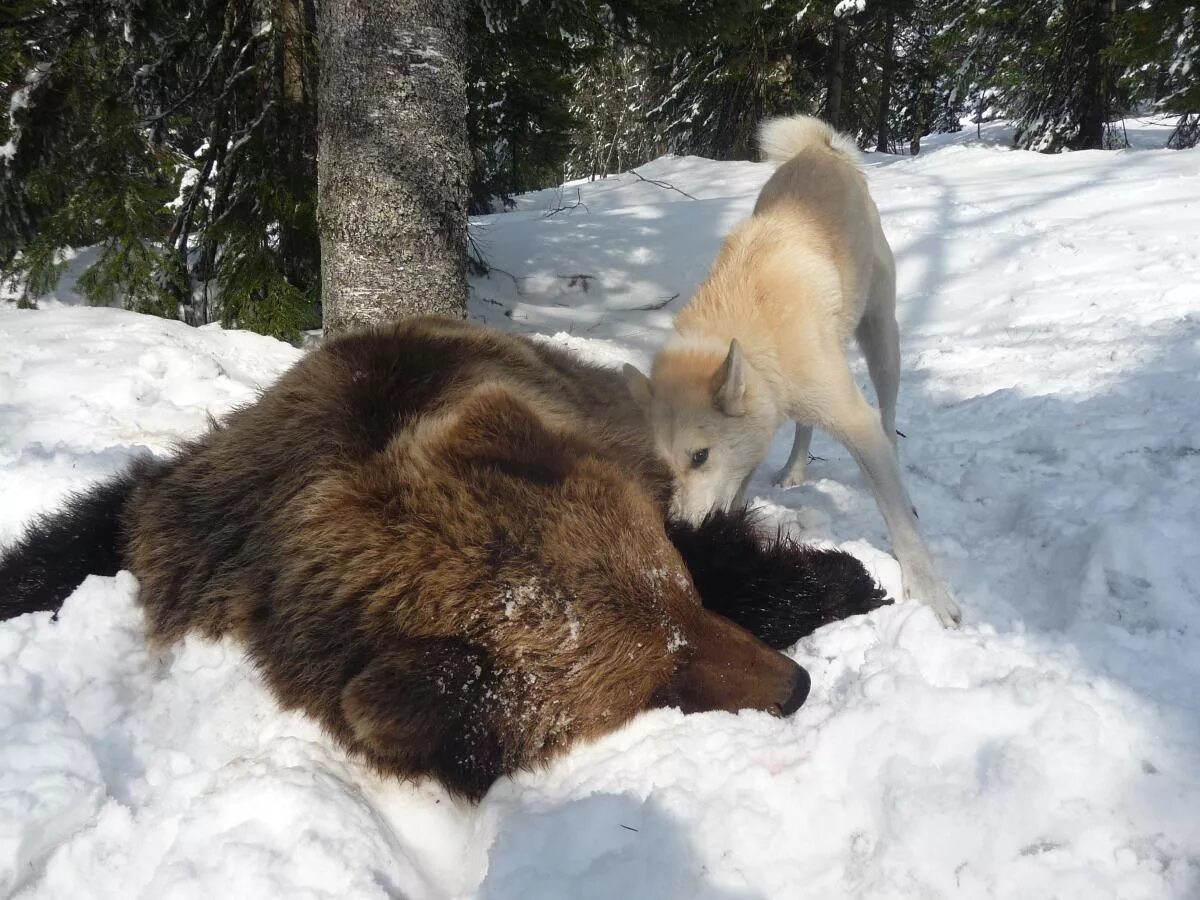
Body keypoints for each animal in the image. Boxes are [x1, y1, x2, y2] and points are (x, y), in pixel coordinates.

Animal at [624, 114, 960, 628]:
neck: (757, 329)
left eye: (699, 456)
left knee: (888, 416)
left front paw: (931, 595)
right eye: (665, 464)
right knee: (805, 426)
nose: (677, 529)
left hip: (882, 341)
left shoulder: (855, 422)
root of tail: (819, 149)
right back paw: (795, 469)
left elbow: (901, 526)